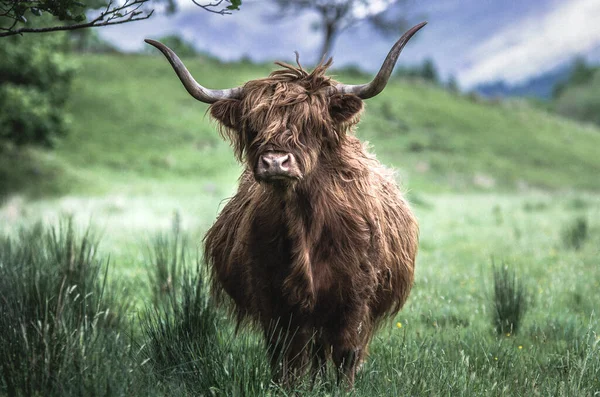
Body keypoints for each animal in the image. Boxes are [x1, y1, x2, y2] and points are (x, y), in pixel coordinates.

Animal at [146, 22, 424, 386]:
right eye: (254, 126)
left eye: (311, 123)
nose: (275, 162)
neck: (305, 224)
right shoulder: (273, 297)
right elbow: (285, 357)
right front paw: (289, 387)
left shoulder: (354, 297)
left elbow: (346, 353)